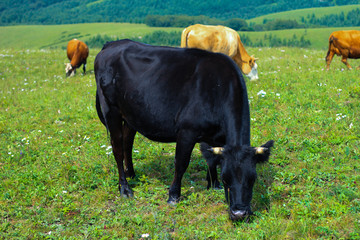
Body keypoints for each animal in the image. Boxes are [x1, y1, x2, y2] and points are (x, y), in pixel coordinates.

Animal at [94, 39, 274, 221]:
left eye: (252, 179)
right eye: (226, 178)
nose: (239, 213)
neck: (217, 86)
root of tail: (113, 44)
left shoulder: (215, 136)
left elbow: (211, 159)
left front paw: (212, 184)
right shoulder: (187, 132)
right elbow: (181, 163)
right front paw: (174, 196)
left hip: (132, 114)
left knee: (127, 142)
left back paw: (131, 173)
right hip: (111, 111)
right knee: (117, 148)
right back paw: (125, 188)